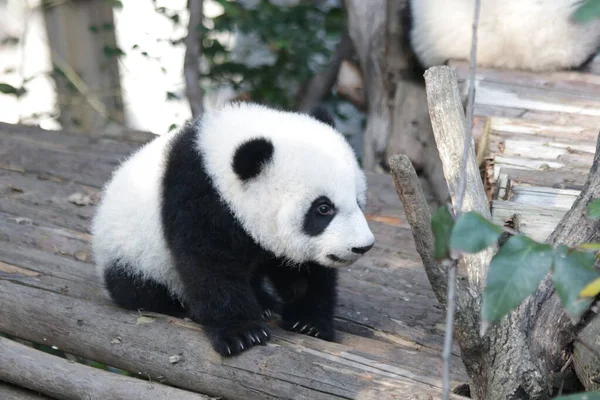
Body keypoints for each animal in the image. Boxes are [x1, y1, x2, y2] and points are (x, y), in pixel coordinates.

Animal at [92, 102, 376, 356]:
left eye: (358, 200)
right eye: (323, 208)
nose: (362, 246)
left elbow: (301, 271)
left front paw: (310, 323)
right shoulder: (198, 196)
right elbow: (208, 266)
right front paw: (242, 334)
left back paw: (264, 302)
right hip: (132, 256)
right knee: (140, 289)